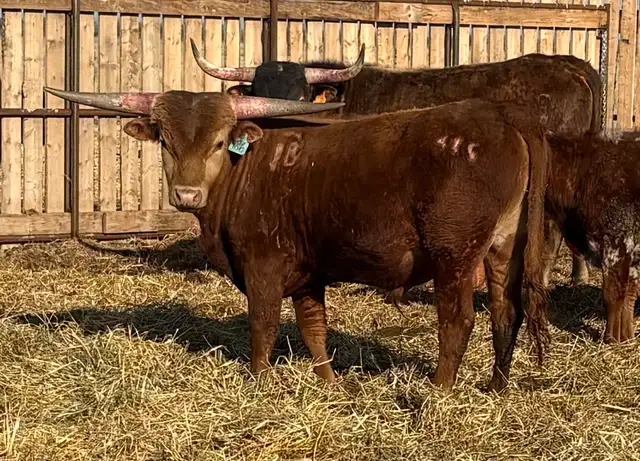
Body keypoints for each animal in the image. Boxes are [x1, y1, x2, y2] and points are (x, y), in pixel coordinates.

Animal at [46, 86, 550, 393]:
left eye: (218, 142)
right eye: (166, 142)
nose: (186, 193)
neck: (247, 167)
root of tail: (499, 115)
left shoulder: (263, 266)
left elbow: (263, 326)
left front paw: (258, 382)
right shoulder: (310, 273)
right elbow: (314, 330)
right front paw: (330, 382)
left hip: (454, 255)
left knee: (459, 319)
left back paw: (439, 391)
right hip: (504, 247)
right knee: (506, 311)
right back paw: (496, 386)